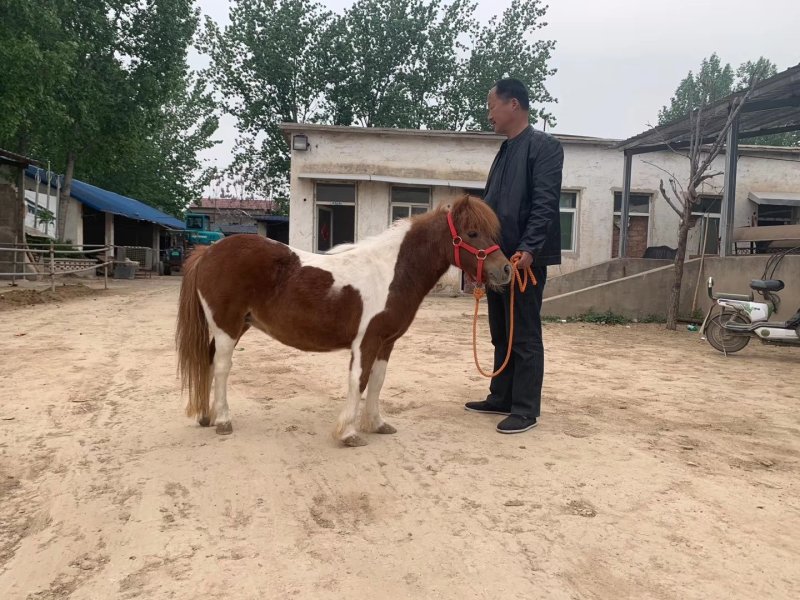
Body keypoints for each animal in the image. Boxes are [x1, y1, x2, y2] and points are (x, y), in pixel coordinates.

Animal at [175, 194, 512, 447]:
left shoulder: (386, 343)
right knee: (221, 367)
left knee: (208, 361)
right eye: (472, 233)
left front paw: (376, 424)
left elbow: (377, 381)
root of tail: (208, 251)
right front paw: (349, 433)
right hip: (227, 327)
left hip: (236, 325)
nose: (506, 269)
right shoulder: (367, 341)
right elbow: (358, 380)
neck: (391, 272)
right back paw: (223, 420)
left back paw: (206, 416)